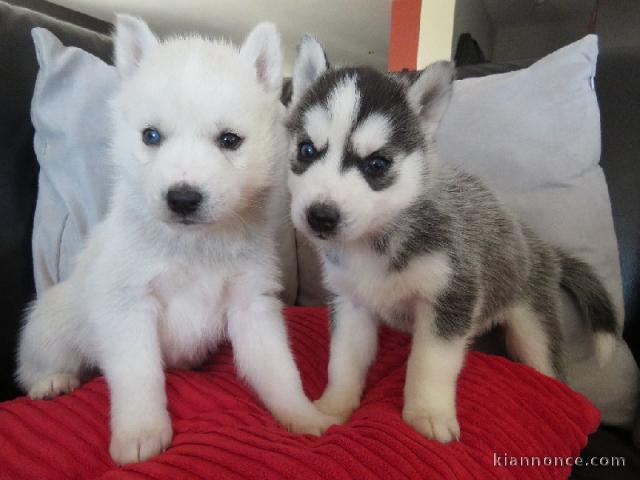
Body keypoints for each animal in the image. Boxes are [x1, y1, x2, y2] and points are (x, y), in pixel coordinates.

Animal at [16, 16, 336, 464]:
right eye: (151, 136)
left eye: (229, 140)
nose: (183, 198)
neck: (195, 246)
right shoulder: (128, 308)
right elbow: (140, 375)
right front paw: (141, 430)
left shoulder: (252, 304)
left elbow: (279, 369)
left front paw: (301, 414)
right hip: (53, 324)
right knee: (38, 361)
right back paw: (51, 380)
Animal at [288, 37, 616, 442]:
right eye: (306, 150)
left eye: (377, 164)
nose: (320, 215)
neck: (377, 239)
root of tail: (544, 248)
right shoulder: (351, 303)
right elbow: (344, 360)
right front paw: (334, 406)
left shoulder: (451, 296)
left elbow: (430, 362)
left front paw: (427, 413)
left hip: (532, 324)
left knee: (546, 367)